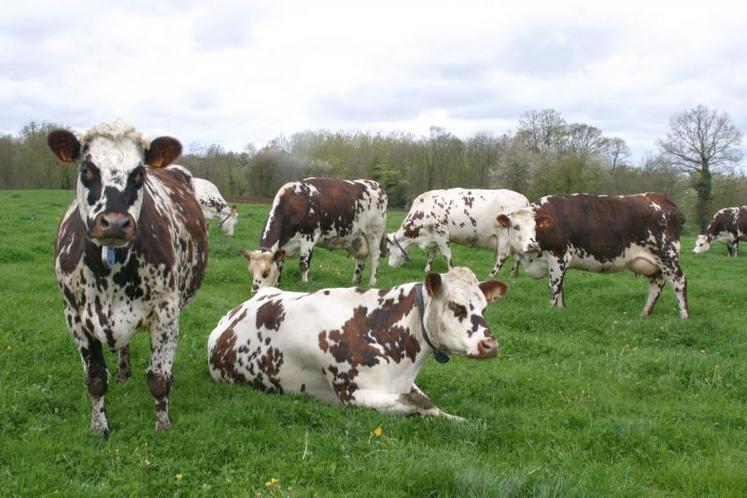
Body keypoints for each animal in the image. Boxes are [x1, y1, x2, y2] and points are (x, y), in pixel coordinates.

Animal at [207, 266, 506, 418]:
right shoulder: (353, 395)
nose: (490, 345)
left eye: (484, 307)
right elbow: (414, 403)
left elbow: (430, 404)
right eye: (456, 306)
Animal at [243, 177, 388, 292]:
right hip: (359, 237)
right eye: (251, 272)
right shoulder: (282, 246)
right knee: (361, 257)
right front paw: (277, 285)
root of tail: (375, 184)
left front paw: (304, 284)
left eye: (266, 272)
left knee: (375, 257)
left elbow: (303, 265)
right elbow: (279, 265)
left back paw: (372, 283)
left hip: (374, 233)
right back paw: (355, 282)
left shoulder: (309, 238)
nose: (254, 291)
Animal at [386, 189, 532, 278]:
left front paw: (451, 272)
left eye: (388, 249)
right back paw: (513, 276)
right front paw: (427, 270)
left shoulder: (441, 232)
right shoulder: (432, 237)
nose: (390, 267)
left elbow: (447, 256)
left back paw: (491, 275)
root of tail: (524, 199)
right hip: (516, 240)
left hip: (504, 236)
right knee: (517, 257)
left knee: (503, 256)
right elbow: (431, 255)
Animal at [496, 195, 688, 320]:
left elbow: (554, 288)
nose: (532, 245)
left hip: (668, 256)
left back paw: (684, 317)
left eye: (535, 226)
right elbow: (561, 289)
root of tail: (658, 197)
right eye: (516, 227)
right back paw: (644, 314)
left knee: (679, 282)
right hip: (656, 263)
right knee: (656, 285)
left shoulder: (558, 257)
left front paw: (549, 311)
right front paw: (560, 311)